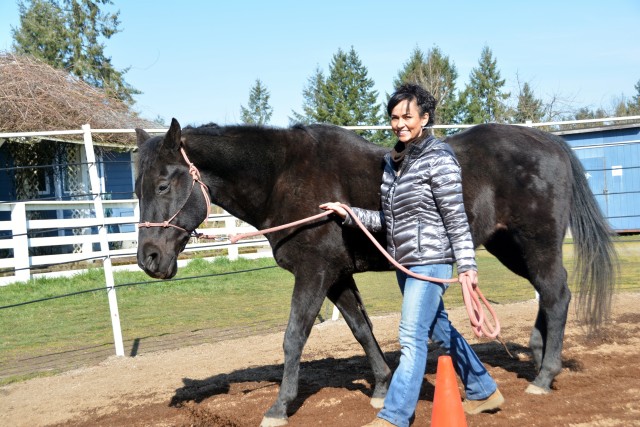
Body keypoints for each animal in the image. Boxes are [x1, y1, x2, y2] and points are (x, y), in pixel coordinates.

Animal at [134, 120, 616, 427]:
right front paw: (383, 385)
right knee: (551, 294)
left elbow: (294, 337)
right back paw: (536, 356)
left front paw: (279, 407)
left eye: (163, 184)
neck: (282, 177)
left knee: (556, 294)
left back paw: (544, 375)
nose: (149, 259)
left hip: (536, 243)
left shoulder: (313, 273)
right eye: (135, 189)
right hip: (509, 247)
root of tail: (551, 143)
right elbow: (361, 328)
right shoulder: (337, 275)